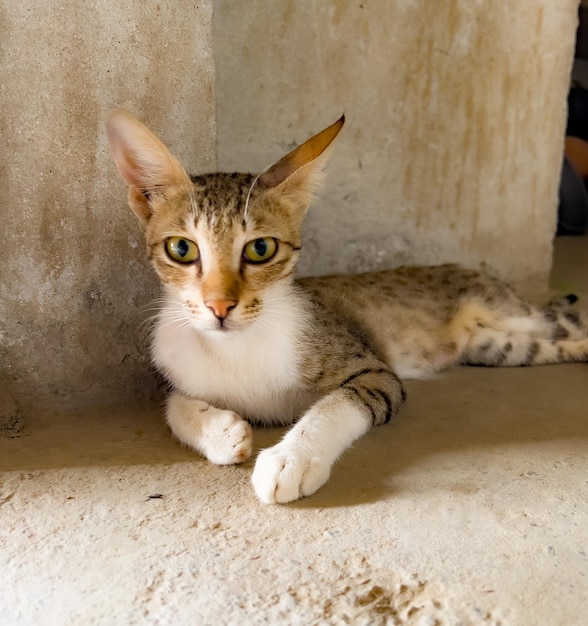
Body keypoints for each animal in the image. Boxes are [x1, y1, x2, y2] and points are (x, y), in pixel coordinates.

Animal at [107, 108, 588, 502]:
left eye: (260, 248)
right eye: (181, 249)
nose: (220, 306)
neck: (235, 349)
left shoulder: (376, 373)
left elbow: (339, 403)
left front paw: (291, 459)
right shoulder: (178, 365)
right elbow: (173, 404)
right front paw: (221, 432)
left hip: (518, 315)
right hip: (501, 348)